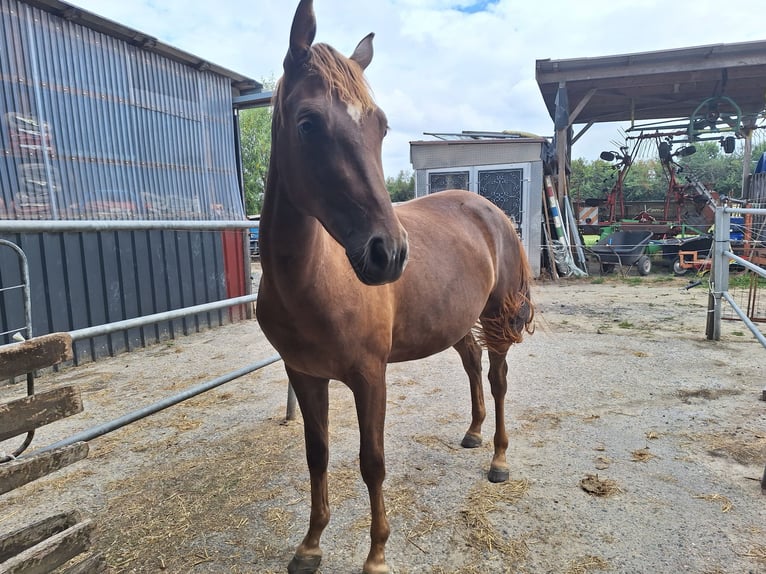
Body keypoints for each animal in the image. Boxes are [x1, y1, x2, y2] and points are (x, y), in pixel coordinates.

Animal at [255, 1, 534, 572]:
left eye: (381, 127)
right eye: (307, 123)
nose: (388, 254)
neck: (311, 281)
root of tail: (491, 210)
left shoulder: (369, 377)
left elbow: (372, 462)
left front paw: (377, 555)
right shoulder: (304, 374)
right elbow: (317, 455)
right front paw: (310, 545)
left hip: (497, 316)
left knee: (497, 378)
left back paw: (498, 457)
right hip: (456, 321)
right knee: (472, 362)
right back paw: (474, 433)